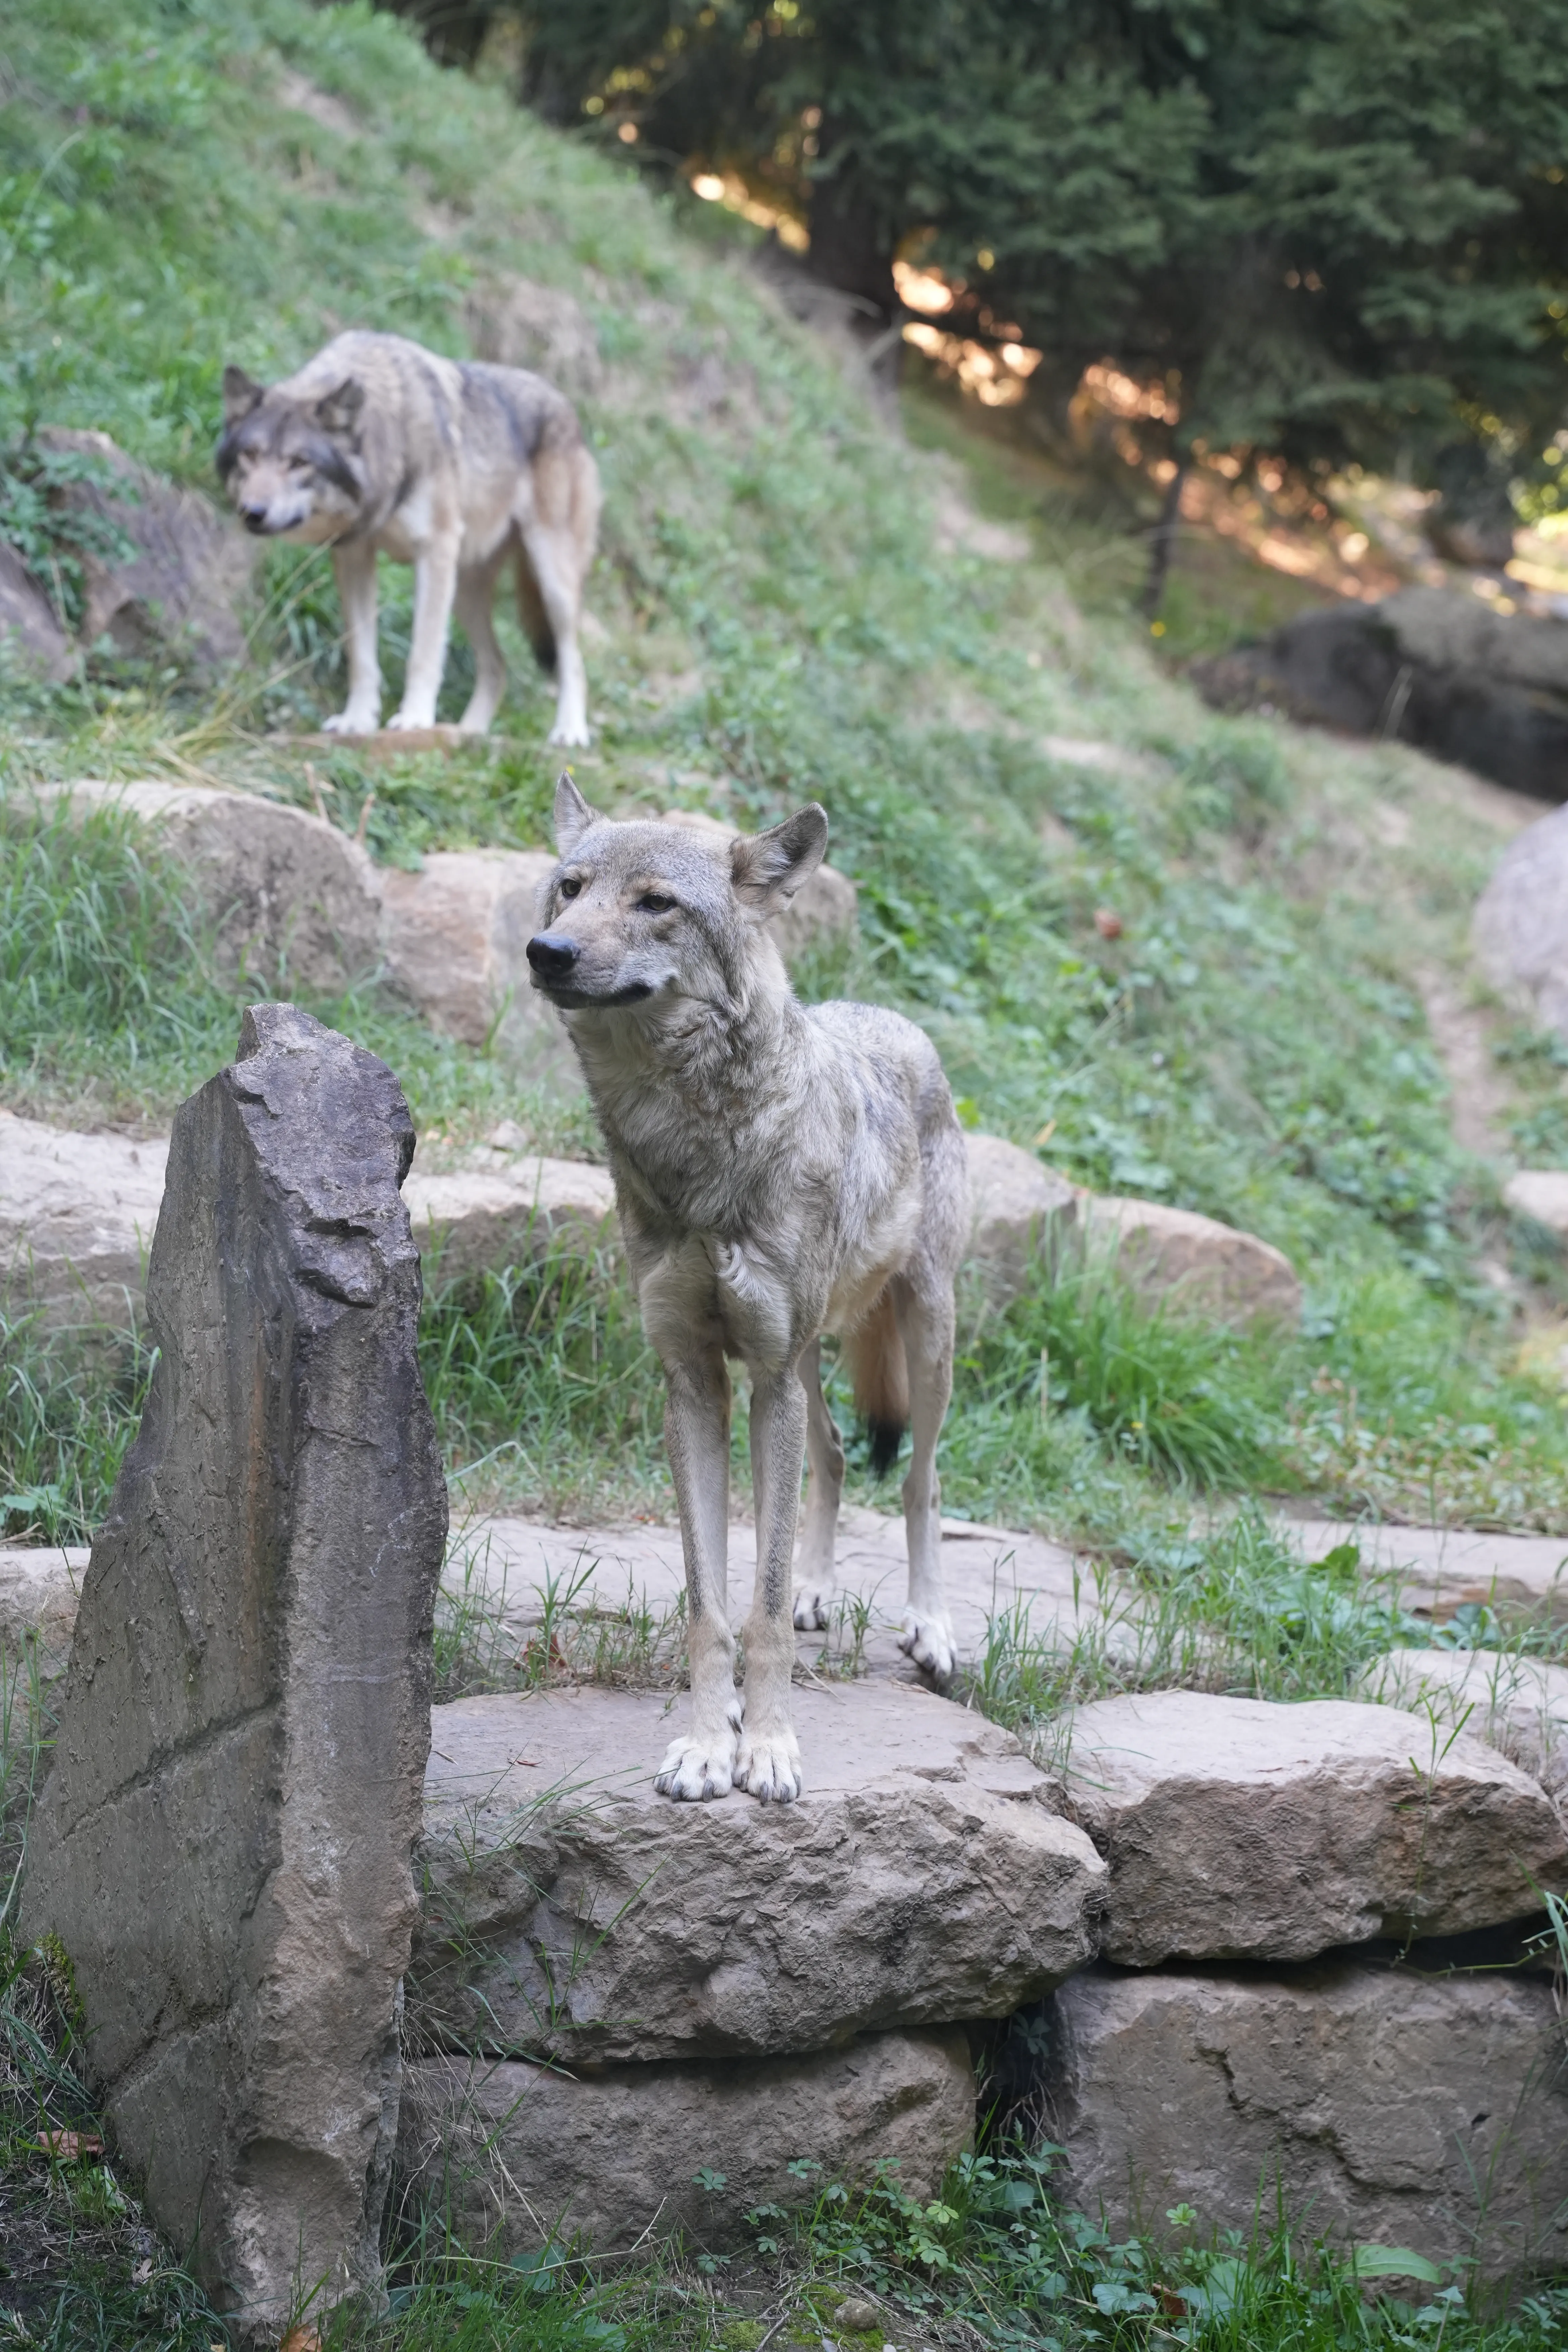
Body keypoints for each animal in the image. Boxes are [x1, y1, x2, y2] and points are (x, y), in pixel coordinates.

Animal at [216, 329, 600, 744]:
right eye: (250, 455)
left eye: (300, 463)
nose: (253, 512)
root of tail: (567, 406)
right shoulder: (354, 557)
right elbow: (362, 657)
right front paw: (357, 721)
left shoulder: (434, 550)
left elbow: (423, 652)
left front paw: (415, 719)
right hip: (464, 593)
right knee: (498, 667)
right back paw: (467, 733)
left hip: (551, 582)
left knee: (573, 661)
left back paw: (569, 732)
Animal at [527, 775, 968, 1802]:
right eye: (570, 888)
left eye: (656, 902)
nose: (547, 950)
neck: (693, 1146)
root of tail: (886, 1015)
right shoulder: (696, 1380)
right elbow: (712, 1603)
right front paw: (705, 1742)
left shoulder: (759, 1378)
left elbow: (756, 1611)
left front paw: (766, 1748)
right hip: (804, 1363)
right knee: (838, 1455)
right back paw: (816, 1587)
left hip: (920, 1343)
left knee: (920, 1479)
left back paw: (929, 1627)